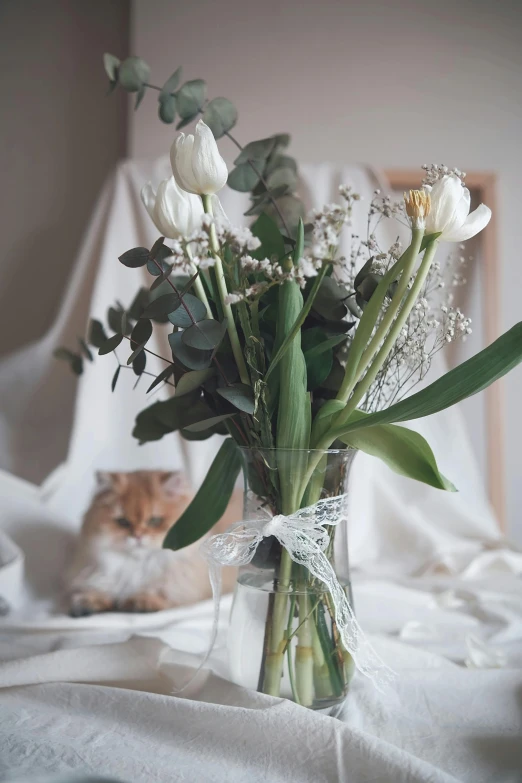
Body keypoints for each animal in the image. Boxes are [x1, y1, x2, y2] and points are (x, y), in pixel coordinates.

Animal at [67, 472, 240, 620]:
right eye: (122, 522)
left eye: (154, 521)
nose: (137, 536)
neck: (136, 566)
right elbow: (96, 591)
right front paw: (87, 603)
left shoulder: (183, 589)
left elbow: (158, 593)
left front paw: (140, 603)